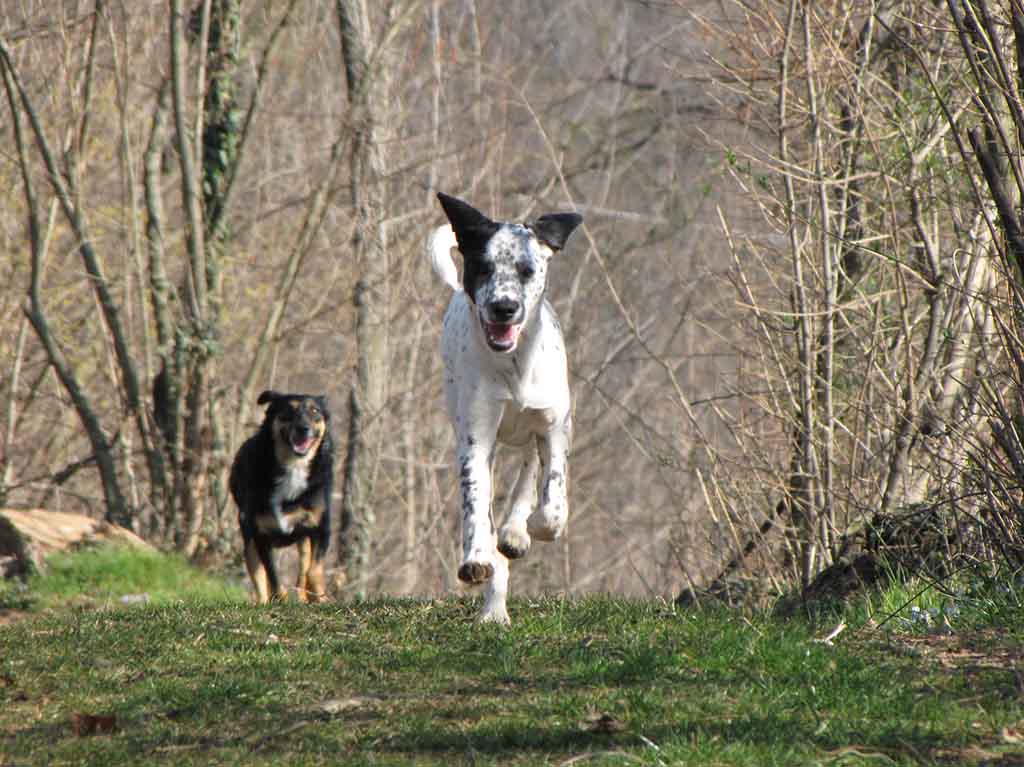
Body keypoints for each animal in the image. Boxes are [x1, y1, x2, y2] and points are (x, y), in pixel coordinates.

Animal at [230, 391, 333, 602]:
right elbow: (272, 576)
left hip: (303, 542)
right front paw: (280, 598)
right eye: (288, 410)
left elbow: (313, 571)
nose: (303, 429)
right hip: (248, 538)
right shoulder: (261, 535)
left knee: (303, 571)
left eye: (315, 411)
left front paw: (319, 596)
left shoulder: (320, 528)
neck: (294, 466)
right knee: (259, 575)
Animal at [425, 191, 585, 622]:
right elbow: (476, 504)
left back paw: (516, 530)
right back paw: (494, 610)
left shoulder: (555, 427)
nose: (503, 307)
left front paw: (532, 527)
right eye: (483, 267)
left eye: (527, 270)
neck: (513, 365)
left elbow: (552, 501)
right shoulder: (476, 439)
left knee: (529, 470)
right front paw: (478, 557)